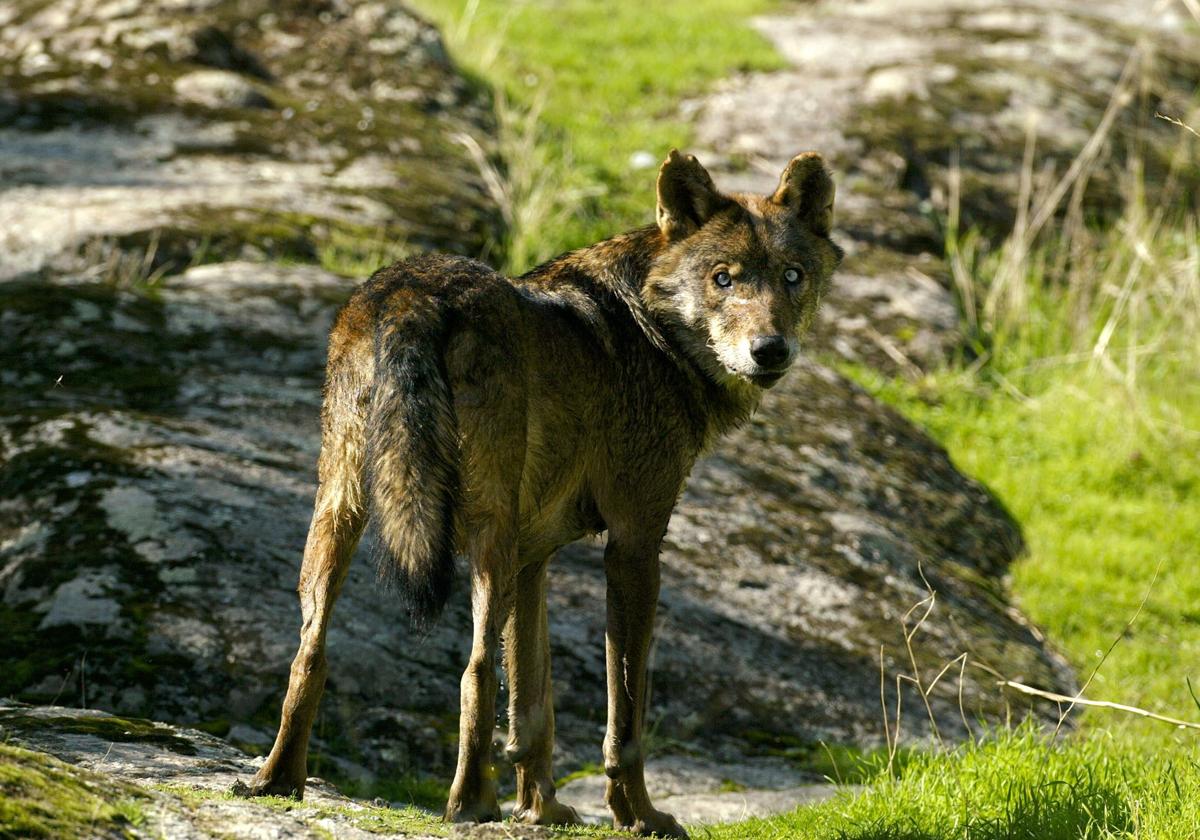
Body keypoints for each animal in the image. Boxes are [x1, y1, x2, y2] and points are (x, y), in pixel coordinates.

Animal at [241, 147, 844, 835]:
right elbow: (624, 713)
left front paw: (542, 809)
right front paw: (637, 814)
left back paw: (277, 781)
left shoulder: (535, 559)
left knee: (310, 651)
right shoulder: (634, 545)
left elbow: (534, 707)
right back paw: (469, 804)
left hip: (343, 509)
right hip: (487, 534)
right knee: (474, 668)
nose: (770, 350)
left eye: (793, 276)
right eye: (723, 279)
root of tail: (412, 291)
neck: (652, 329)